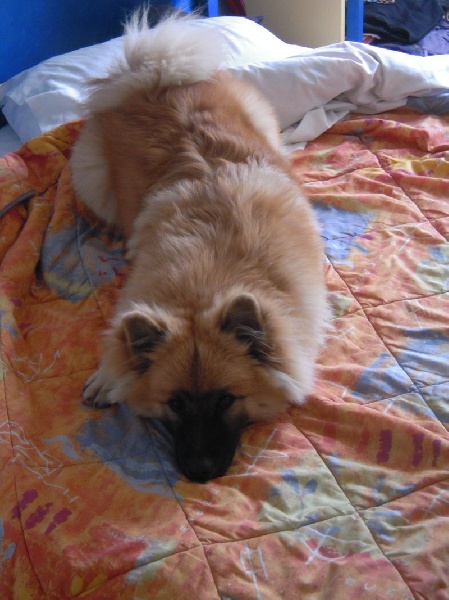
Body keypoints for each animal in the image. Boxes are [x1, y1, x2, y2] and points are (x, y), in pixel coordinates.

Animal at [70, 10, 328, 482]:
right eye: (175, 403)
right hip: (92, 181)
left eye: (227, 399)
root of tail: (155, 76)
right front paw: (107, 377)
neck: (208, 283)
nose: (199, 471)